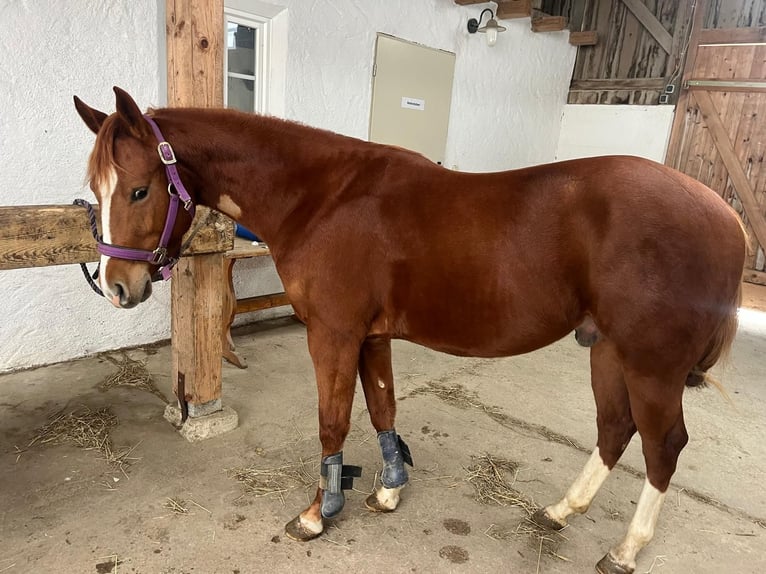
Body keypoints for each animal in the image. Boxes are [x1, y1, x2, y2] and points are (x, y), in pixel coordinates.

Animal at [73, 87, 746, 574]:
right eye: (96, 190)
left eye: (140, 190)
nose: (117, 286)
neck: (323, 198)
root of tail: (726, 215)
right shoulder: (372, 337)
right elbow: (383, 410)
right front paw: (389, 491)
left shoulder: (334, 334)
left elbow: (334, 421)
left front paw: (318, 513)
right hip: (606, 350)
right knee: (615, 428)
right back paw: (561, 510)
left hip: (650, 364)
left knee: (663, 445)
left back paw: (625, 550)